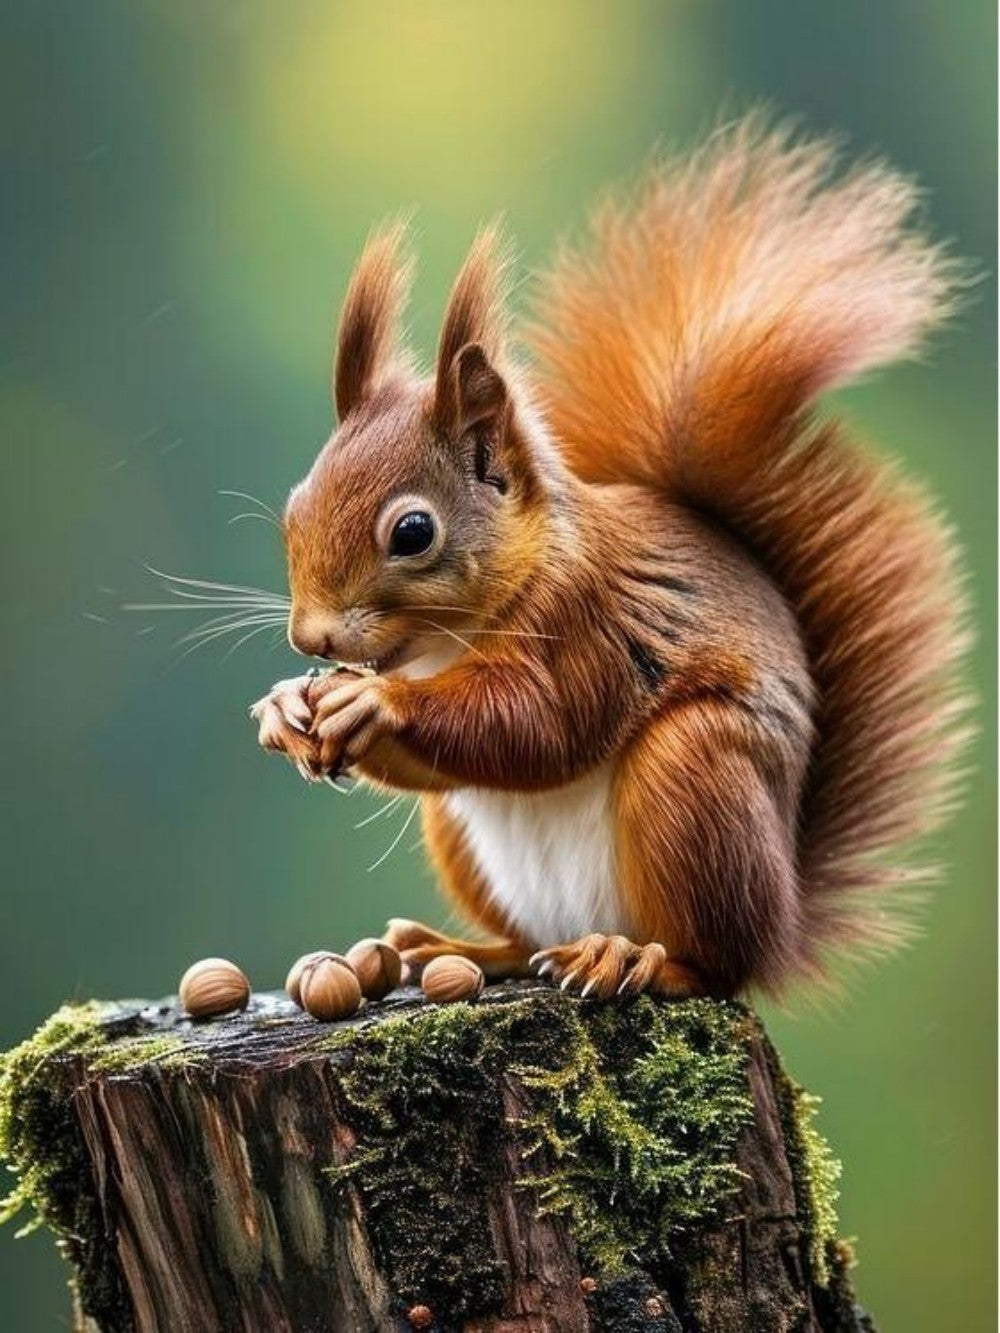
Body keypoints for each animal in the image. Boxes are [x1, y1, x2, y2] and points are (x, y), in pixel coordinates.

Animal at [251, 117, 969, 1000]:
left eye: (413, 532)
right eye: (294, 507)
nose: (310, 638)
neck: (445, 643)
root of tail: (783, 923)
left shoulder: (587, 622)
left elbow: (536, 722)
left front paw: (373, 701)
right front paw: (286, 706)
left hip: (695, 778)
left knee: (711, 961)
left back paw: (636, 958)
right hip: (470, 842)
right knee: (527, 938)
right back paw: (449, 949)